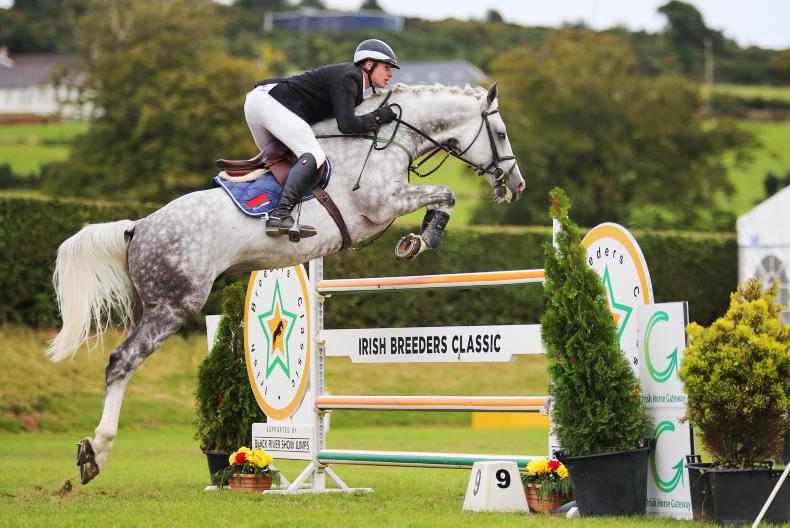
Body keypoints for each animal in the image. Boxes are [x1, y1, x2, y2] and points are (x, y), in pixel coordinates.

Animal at [48, 82, 526, 484]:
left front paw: (418, 239)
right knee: (122, 361)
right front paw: (423, 238)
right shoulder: (382, 202)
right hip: (173, 306)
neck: (386, 138)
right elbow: (447, 193)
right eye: (501, 134)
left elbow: (442, 197)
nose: (516, 185)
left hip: (149, 306)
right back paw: (96, 452)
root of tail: (139, 227)